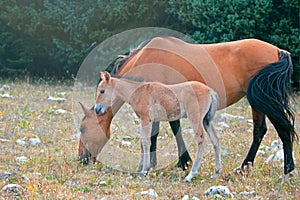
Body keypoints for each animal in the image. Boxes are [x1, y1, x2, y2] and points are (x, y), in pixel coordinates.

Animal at [91, 71, 220, 180]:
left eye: (102, 91)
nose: (97, 109)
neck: (138, 92)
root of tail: (209, 90)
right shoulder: (146, 121)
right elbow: (143, 142)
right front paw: (140, 167)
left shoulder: (146, 119)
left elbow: (146, 142)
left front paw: (144, 170)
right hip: (206, 121)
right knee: (216, 140)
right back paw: (216, 173)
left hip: (196, 119)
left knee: (201, 141)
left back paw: (191, 175)